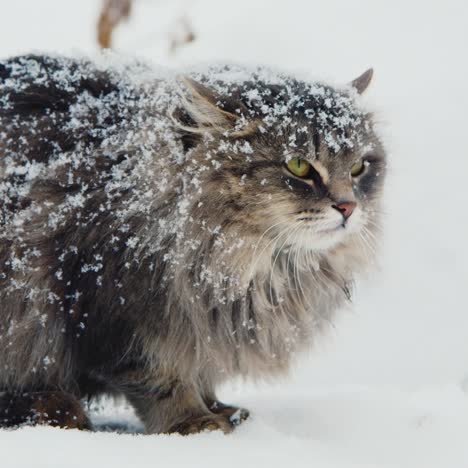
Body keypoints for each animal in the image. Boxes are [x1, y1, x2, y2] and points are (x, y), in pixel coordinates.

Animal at [0, 54, 386, 436]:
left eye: (358, 167)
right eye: (299, 165)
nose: (348, 207)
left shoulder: (202, 329)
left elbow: (200, 374)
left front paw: (220, 409)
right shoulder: (117, 312)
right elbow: (160, 380)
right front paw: (194, 422)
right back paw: (54, 408)